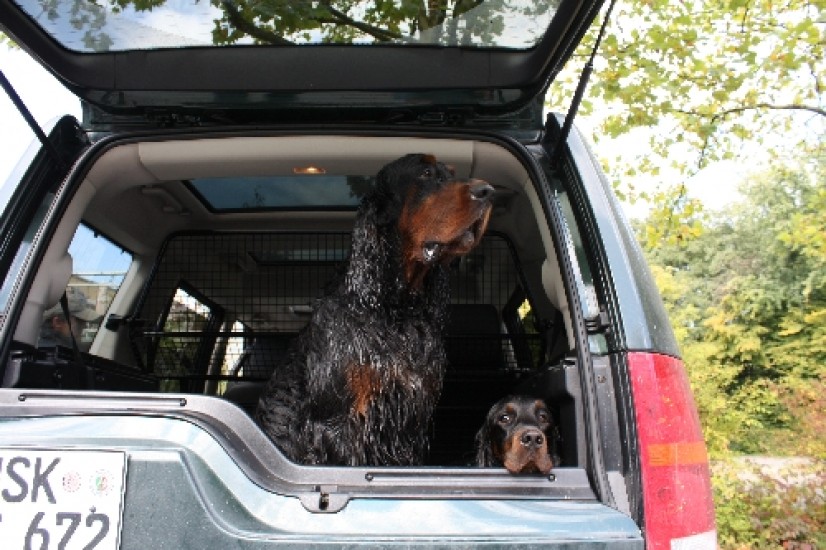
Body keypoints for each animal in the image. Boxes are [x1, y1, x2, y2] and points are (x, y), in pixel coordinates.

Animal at [256, 153, 494, 466]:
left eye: (451, 172)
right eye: (426, 173)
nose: (488, 191)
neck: (397, 308)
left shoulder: (412, 424)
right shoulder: (336, 424)